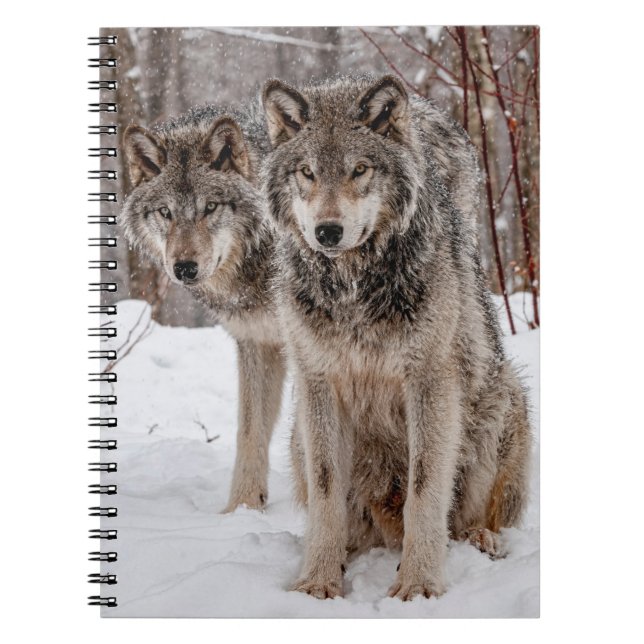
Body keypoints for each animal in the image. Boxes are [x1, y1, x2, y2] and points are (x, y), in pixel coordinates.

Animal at [121, 104, 284, 512]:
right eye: (165, 212)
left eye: (210, 207)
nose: (184, 268)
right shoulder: (256, 341)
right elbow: (250, 432)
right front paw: (242, 510)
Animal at [261, 75, 531, 600]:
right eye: (307, 172)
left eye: (360, 169)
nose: (327, 231)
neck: (353, 289)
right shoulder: (319, 383)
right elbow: (326, 492)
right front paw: (318, 581)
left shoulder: (429, 382)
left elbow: (426, 490)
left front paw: (419, 583)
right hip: (300, 434)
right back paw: (348, 552)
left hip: (503, 398)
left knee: (473, 518)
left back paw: (481, 539)